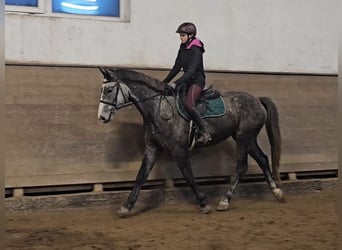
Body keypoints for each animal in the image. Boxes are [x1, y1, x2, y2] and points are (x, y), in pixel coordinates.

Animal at [96, 67, 284, 216]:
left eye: (110, 90)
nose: (102, 117)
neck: (158, 109)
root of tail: (257, 100)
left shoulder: (179, 150)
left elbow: (188, 176)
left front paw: (203, 203)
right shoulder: (152, 148)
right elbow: (141, 176)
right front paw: (126, 207)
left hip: (244, 137)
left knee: (242, 167)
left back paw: (224, 201)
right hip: (246, 138)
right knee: (262, 159)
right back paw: (277, 192)